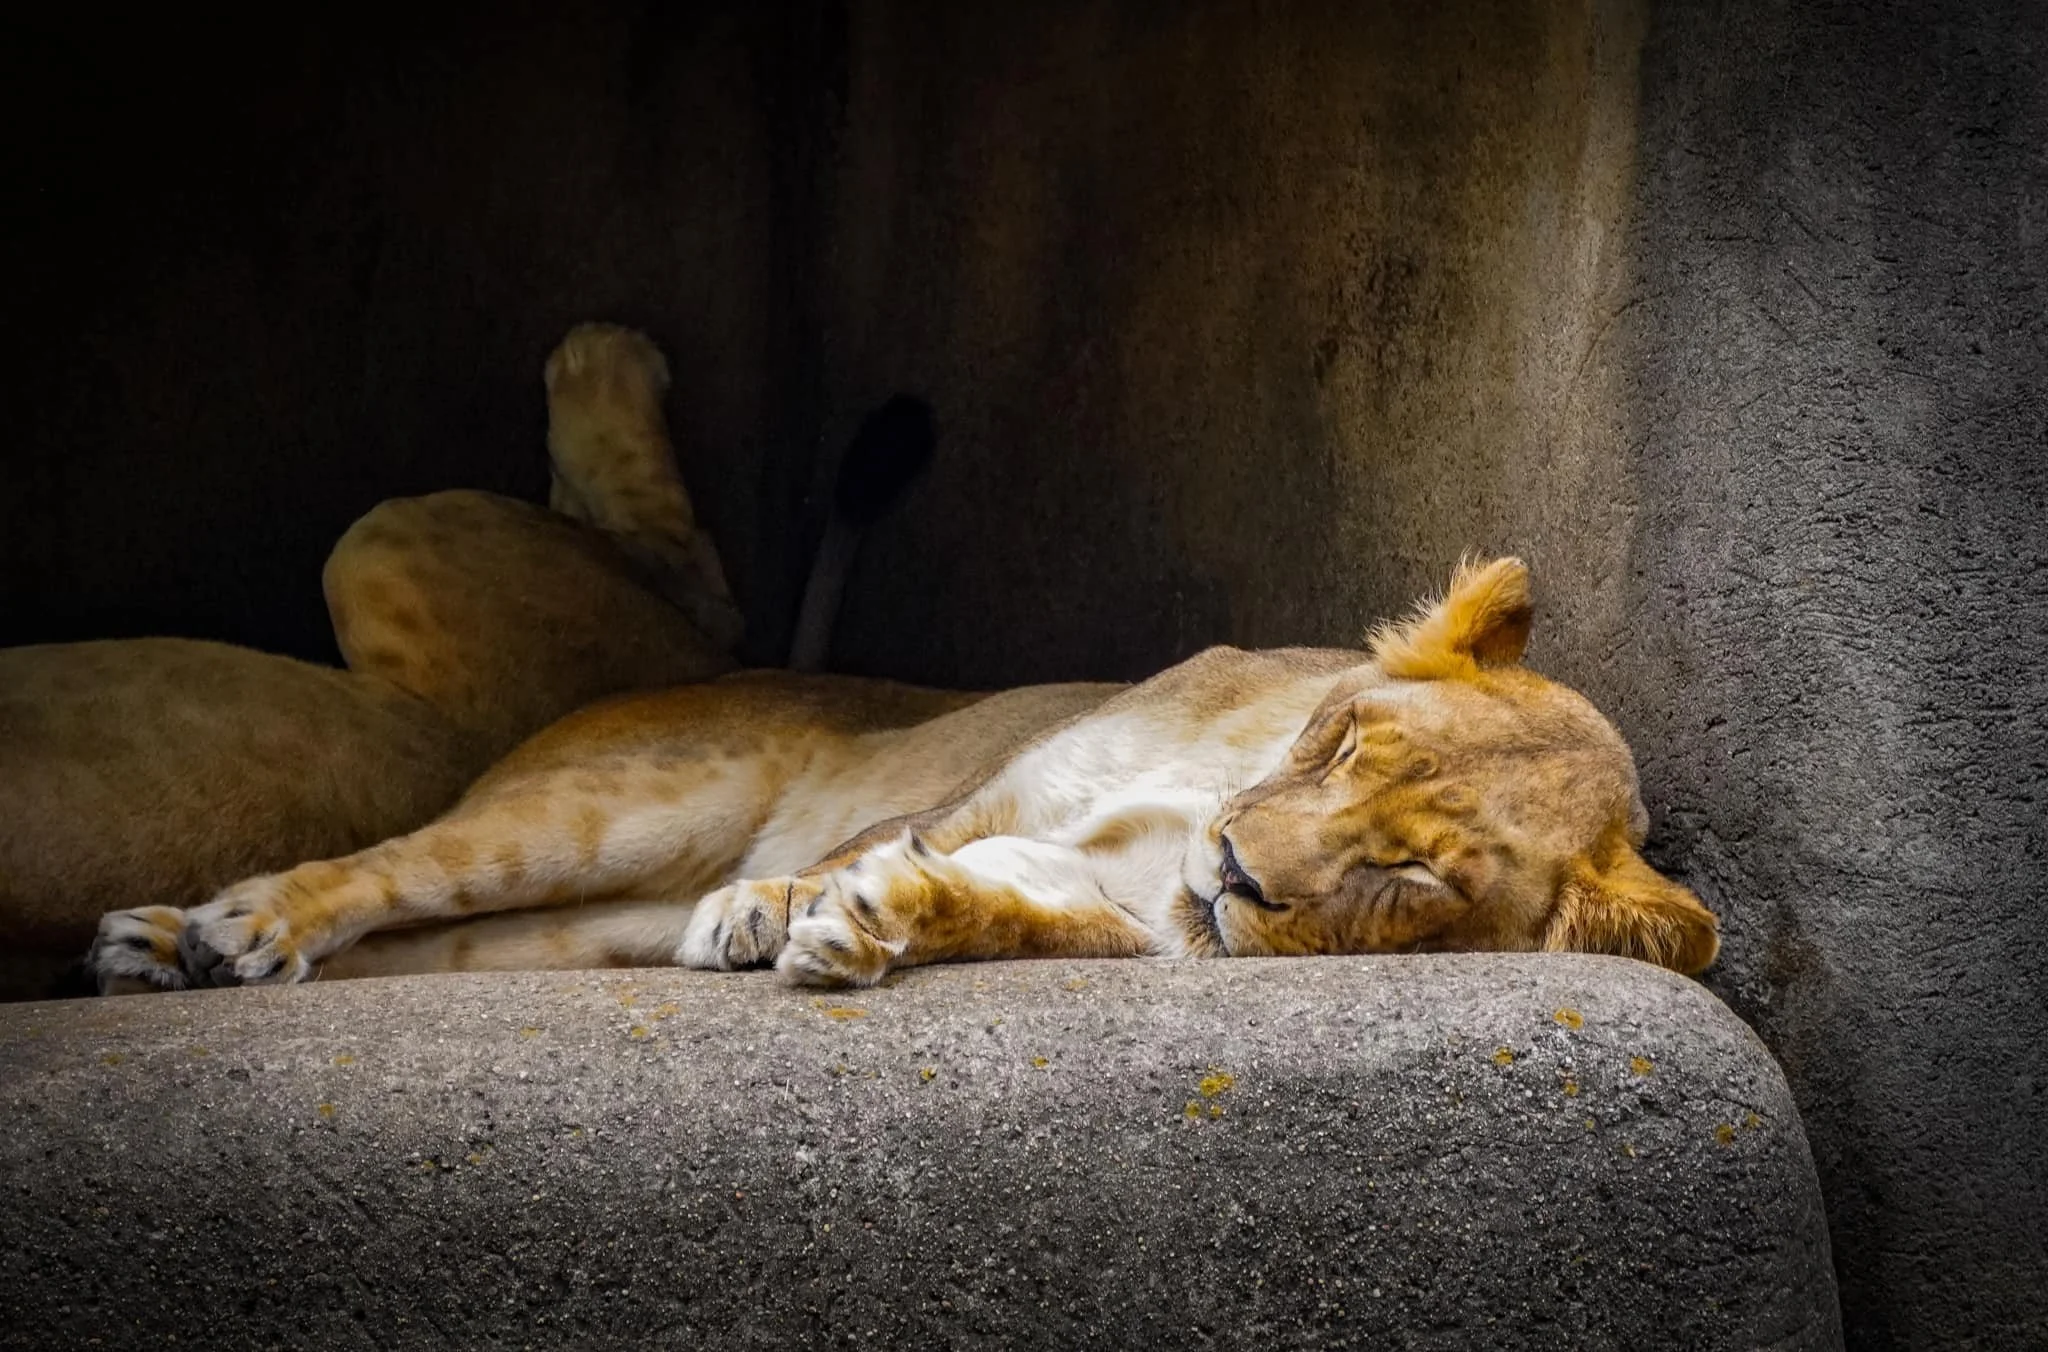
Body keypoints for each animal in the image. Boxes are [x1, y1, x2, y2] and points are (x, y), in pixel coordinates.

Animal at [87, 534, 1719, 990]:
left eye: (1412, 880)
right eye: (1345, 741)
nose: (1239, 875)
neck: (1204, 795)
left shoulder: (1113, 907)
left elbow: (987, 902)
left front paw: (874, 922)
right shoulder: (996, 790)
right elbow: (891, 828)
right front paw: (774, 905)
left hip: (559, 929)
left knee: (420, 944)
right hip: (603, 814)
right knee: (386, 871)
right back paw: (212, 929)